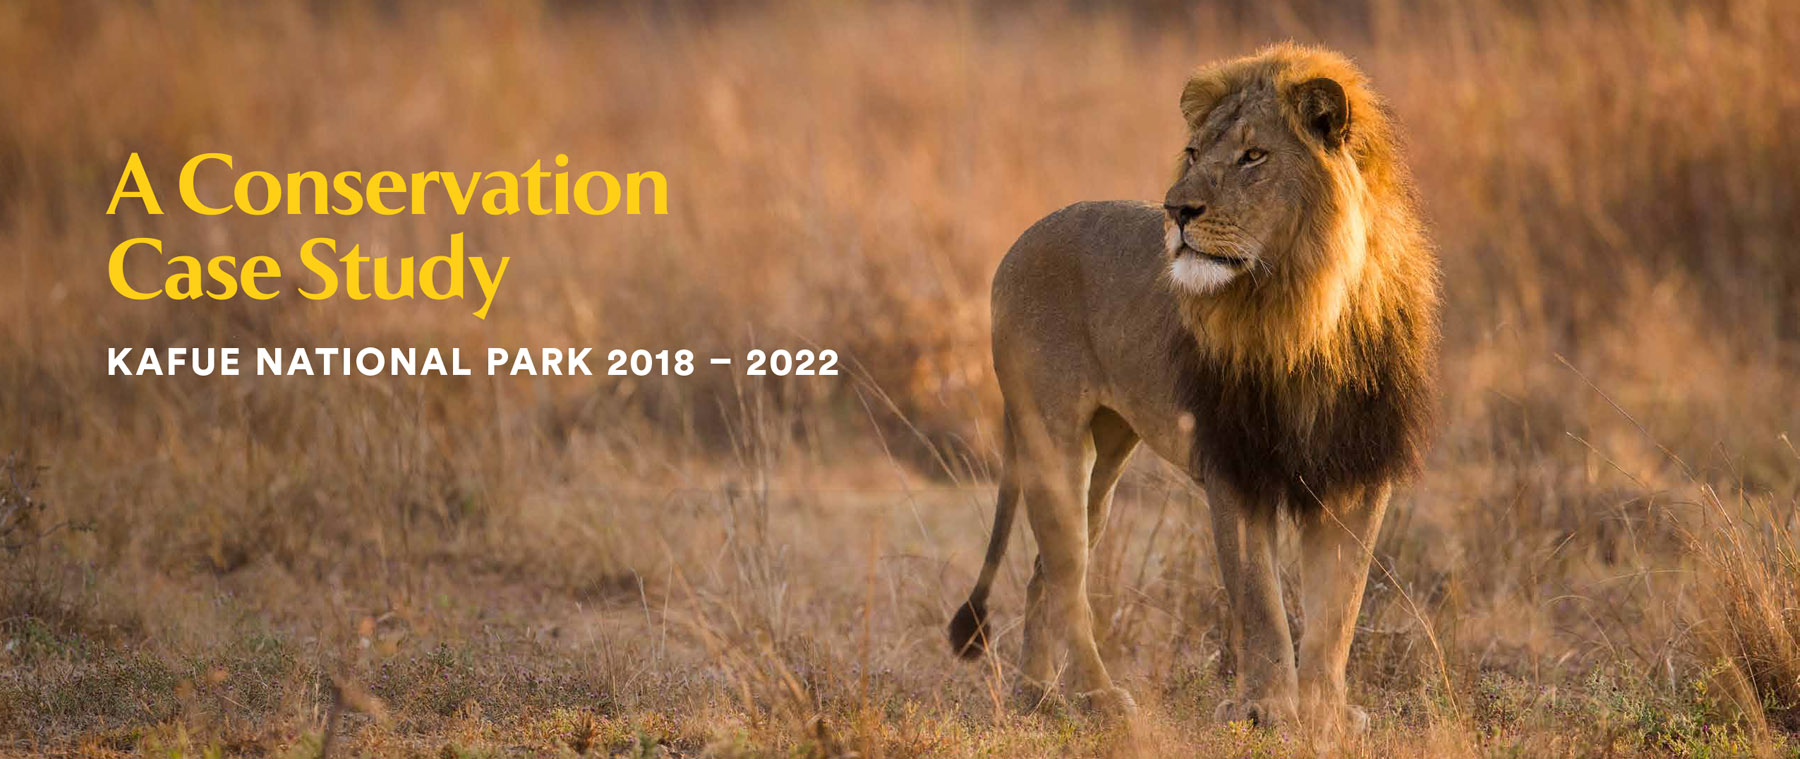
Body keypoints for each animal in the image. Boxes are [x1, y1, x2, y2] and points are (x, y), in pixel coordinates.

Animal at [946, 43, 1439, 734]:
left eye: (1253, 155)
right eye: (1194, 153)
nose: (1175, 210)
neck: (1304, 310)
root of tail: (1024, 237)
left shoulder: (1356, 472)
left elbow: (1338, 610)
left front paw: (1327, 715)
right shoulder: (1235, 469)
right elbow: (1261, 605)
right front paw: (1266, 709)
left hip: (1109, 451)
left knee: (1046, 571)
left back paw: (1036, 697)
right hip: (1051, 440)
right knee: (1066, 573)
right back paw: (1099, 699)